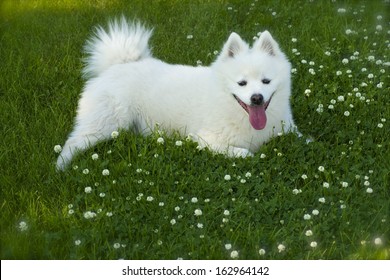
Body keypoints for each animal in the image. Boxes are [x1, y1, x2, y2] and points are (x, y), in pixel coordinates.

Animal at [55, 18, 298, 171]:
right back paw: (60, 168)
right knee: (73, 142)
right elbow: (244, 153)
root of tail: (117, 65)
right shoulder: (205, 139)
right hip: (107, 122)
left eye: (266, 81)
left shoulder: (290, 131)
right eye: (242, 83)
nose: (256, 98)